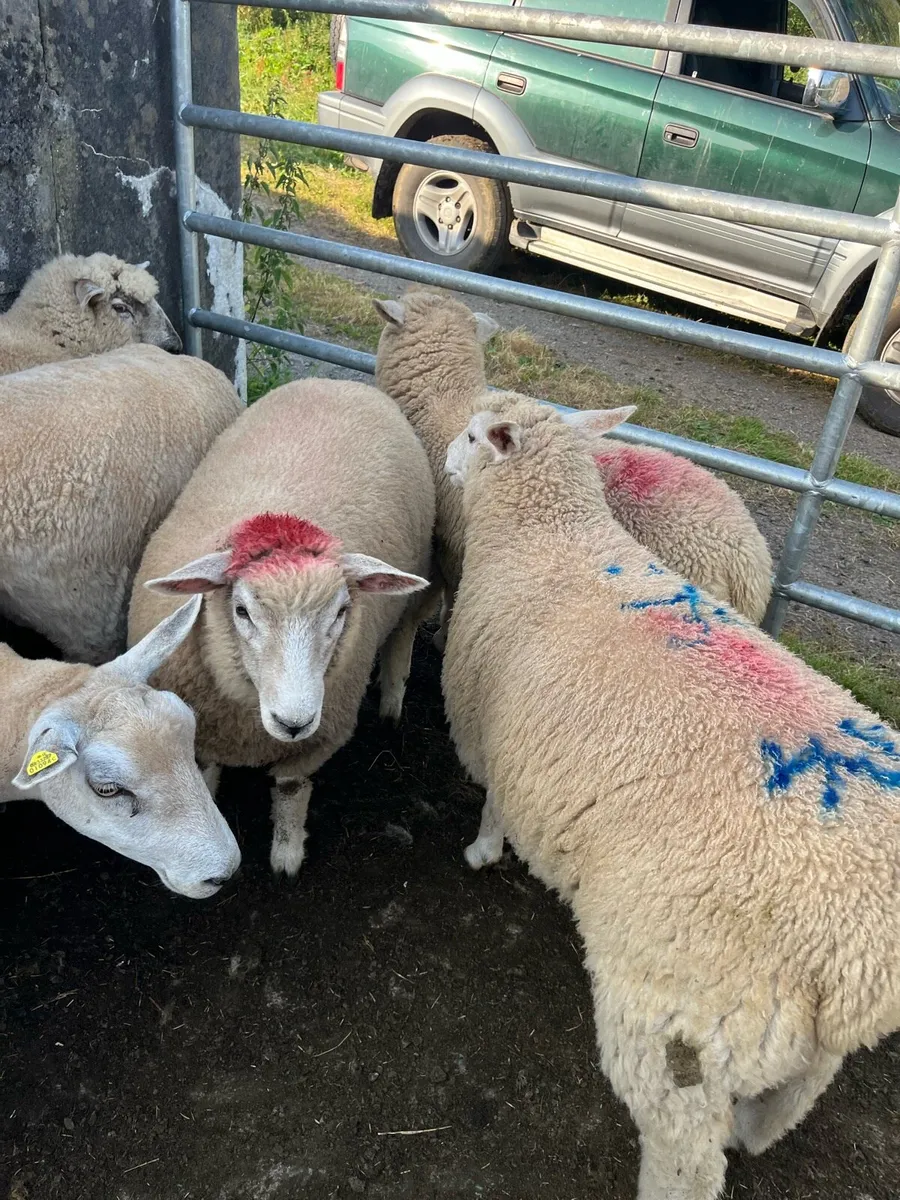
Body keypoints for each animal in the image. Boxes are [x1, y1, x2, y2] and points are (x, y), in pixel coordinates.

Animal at [128, 378, 435, 877]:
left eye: (342, 612)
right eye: (241, 611)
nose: (294, 721)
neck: (248, 722)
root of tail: (341, 381)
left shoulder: (316, 740)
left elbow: (290, 791)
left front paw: (286, 856)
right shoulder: (206, 726)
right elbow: (206, 773)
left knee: (402, 638)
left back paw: (392, 701)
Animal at [442, 396, 900, 1200]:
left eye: (472, 436)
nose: (442, 456)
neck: (548, 536)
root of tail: (862, 954)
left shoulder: (492, 731)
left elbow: (494, 804)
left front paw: (481, 852)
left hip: (687, 1014)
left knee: (685, 1150)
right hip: (795, 1034)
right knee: (796, 1094)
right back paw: (755, 1132)